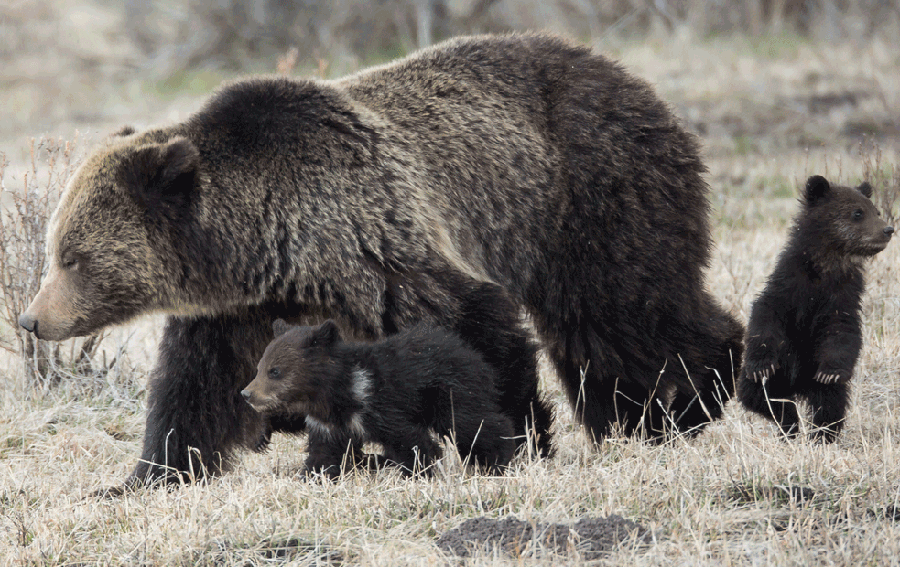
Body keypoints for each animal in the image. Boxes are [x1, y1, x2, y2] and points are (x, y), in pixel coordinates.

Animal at [243, 322, 516, 478]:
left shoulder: (380, 406)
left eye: (275, 371)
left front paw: (418, 473)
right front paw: (311, 475)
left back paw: (498, 460)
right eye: (259, 367)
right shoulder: (328, 426)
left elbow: (411, 441)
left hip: (451, 393)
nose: (247, 394)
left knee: (473, 423)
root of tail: (474, 355)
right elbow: (323, 456)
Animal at [740, 175, 892, 442]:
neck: (825, 266)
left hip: (816, 376)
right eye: (857, 212)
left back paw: (820, 435)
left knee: (830, 404)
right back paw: (790, 424)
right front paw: (760, 365)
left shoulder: (842, 297)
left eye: (876, 211)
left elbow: (842, 333)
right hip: (777, 375)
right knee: (760, 396)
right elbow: (766, 314)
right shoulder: (789, 285)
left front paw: (830, 372)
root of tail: (798, 387)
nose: (888, 230)